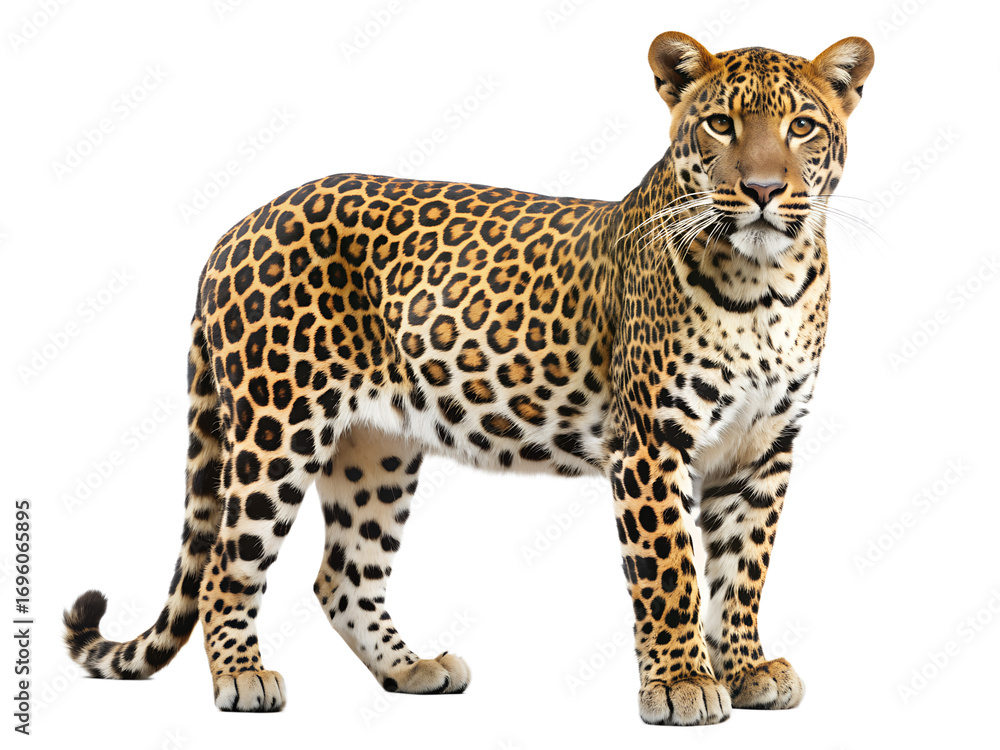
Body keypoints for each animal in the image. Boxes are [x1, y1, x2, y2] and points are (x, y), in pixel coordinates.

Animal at [63, 31, 873, 726]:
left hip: (376, 448)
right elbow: (670, 569)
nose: (764, 189)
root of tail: (236, 228)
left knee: (343, 575)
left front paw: (745, 668)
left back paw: (412, 668)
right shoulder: (651, 440)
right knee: (225, 566)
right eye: (718, 125)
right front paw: (681, 684)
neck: (769, 286)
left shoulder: (763, 448)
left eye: (803, 127)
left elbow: (744, 568)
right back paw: (242, 677)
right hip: (275, 428)